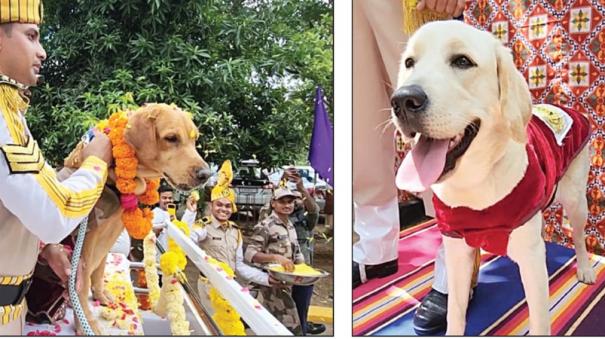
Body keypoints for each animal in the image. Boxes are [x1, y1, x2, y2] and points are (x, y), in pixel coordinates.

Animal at [392, 19, 596, 336]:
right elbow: (455, 313)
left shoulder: (530, 259)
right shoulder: (457, 249)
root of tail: (562, 107)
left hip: (576, 200)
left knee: (578, 235)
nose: (402, 100)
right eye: (410, 63)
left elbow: (539, 321)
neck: (475, 182)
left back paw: (585, 267)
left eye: (463, 61)